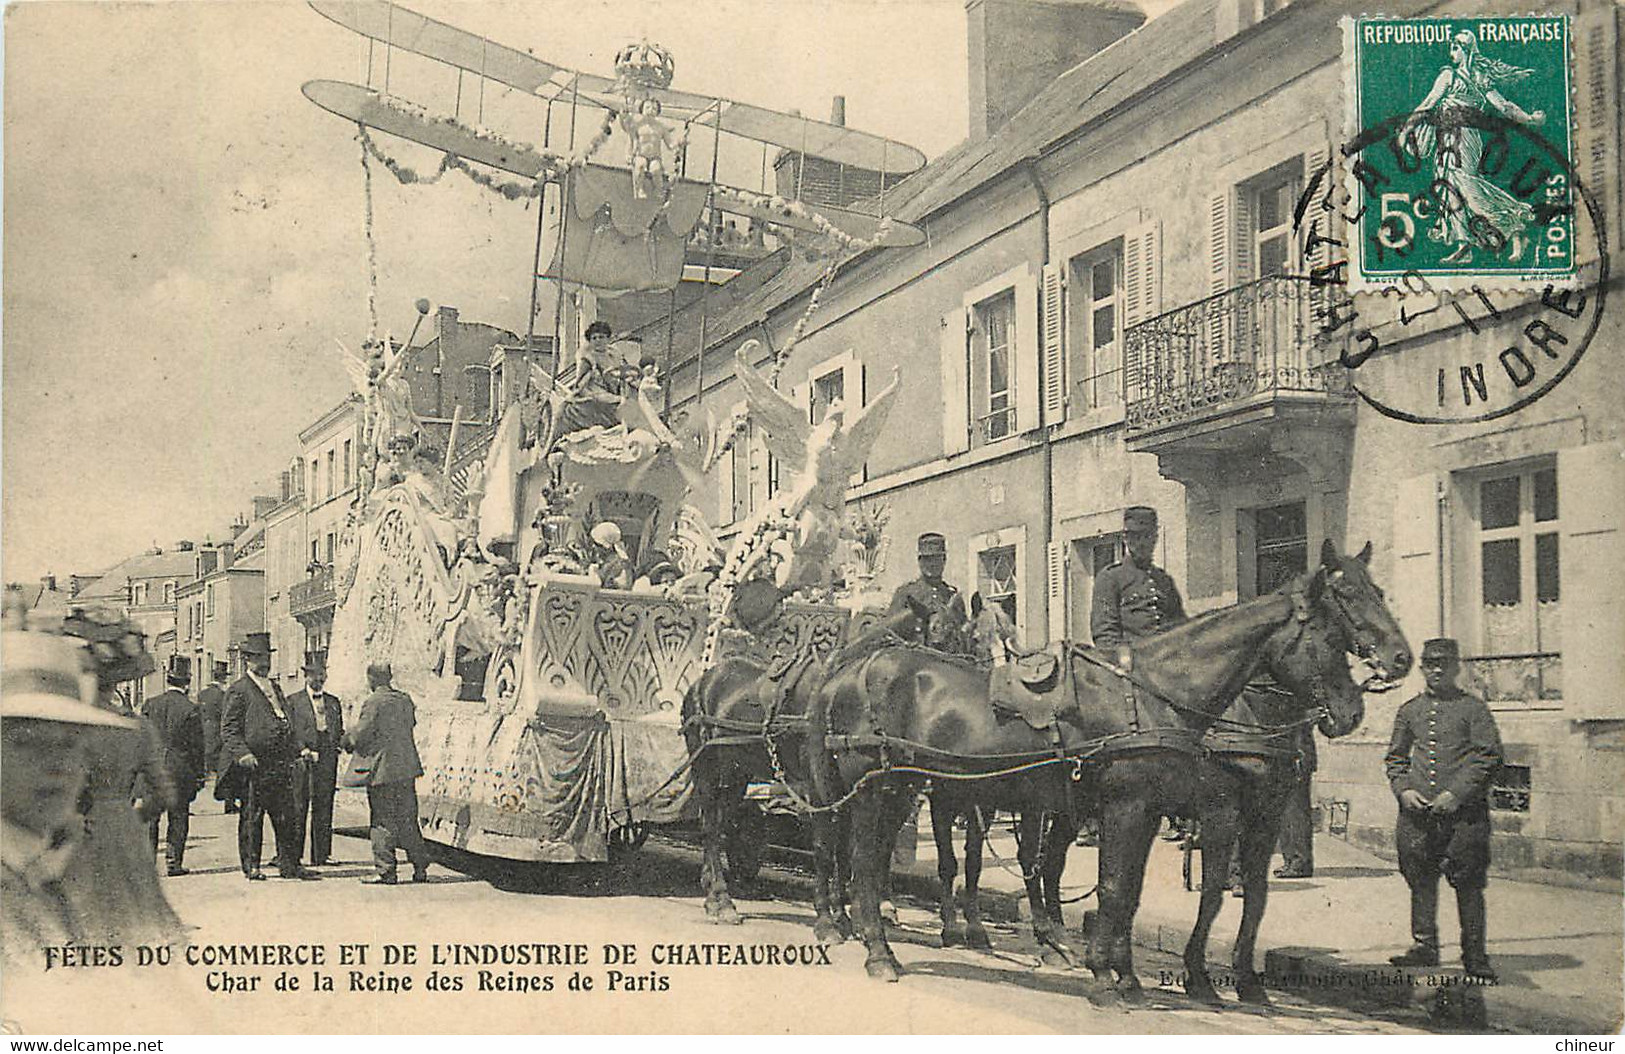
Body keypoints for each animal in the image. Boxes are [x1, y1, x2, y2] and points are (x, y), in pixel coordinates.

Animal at [812, 539, 1410, 993]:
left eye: (1379, 593)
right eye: (1335, 622)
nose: (1397, 664)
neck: (1157, 691)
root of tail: (853, 666)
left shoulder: (1153, 810)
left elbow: (1133, 890)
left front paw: (1126, 972)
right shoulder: (1153, 807)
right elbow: (1125, 888)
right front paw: (1116, 977)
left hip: (908, 789)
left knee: (884, 860)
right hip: (880, 790)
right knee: (857, 858)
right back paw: (873, 948)